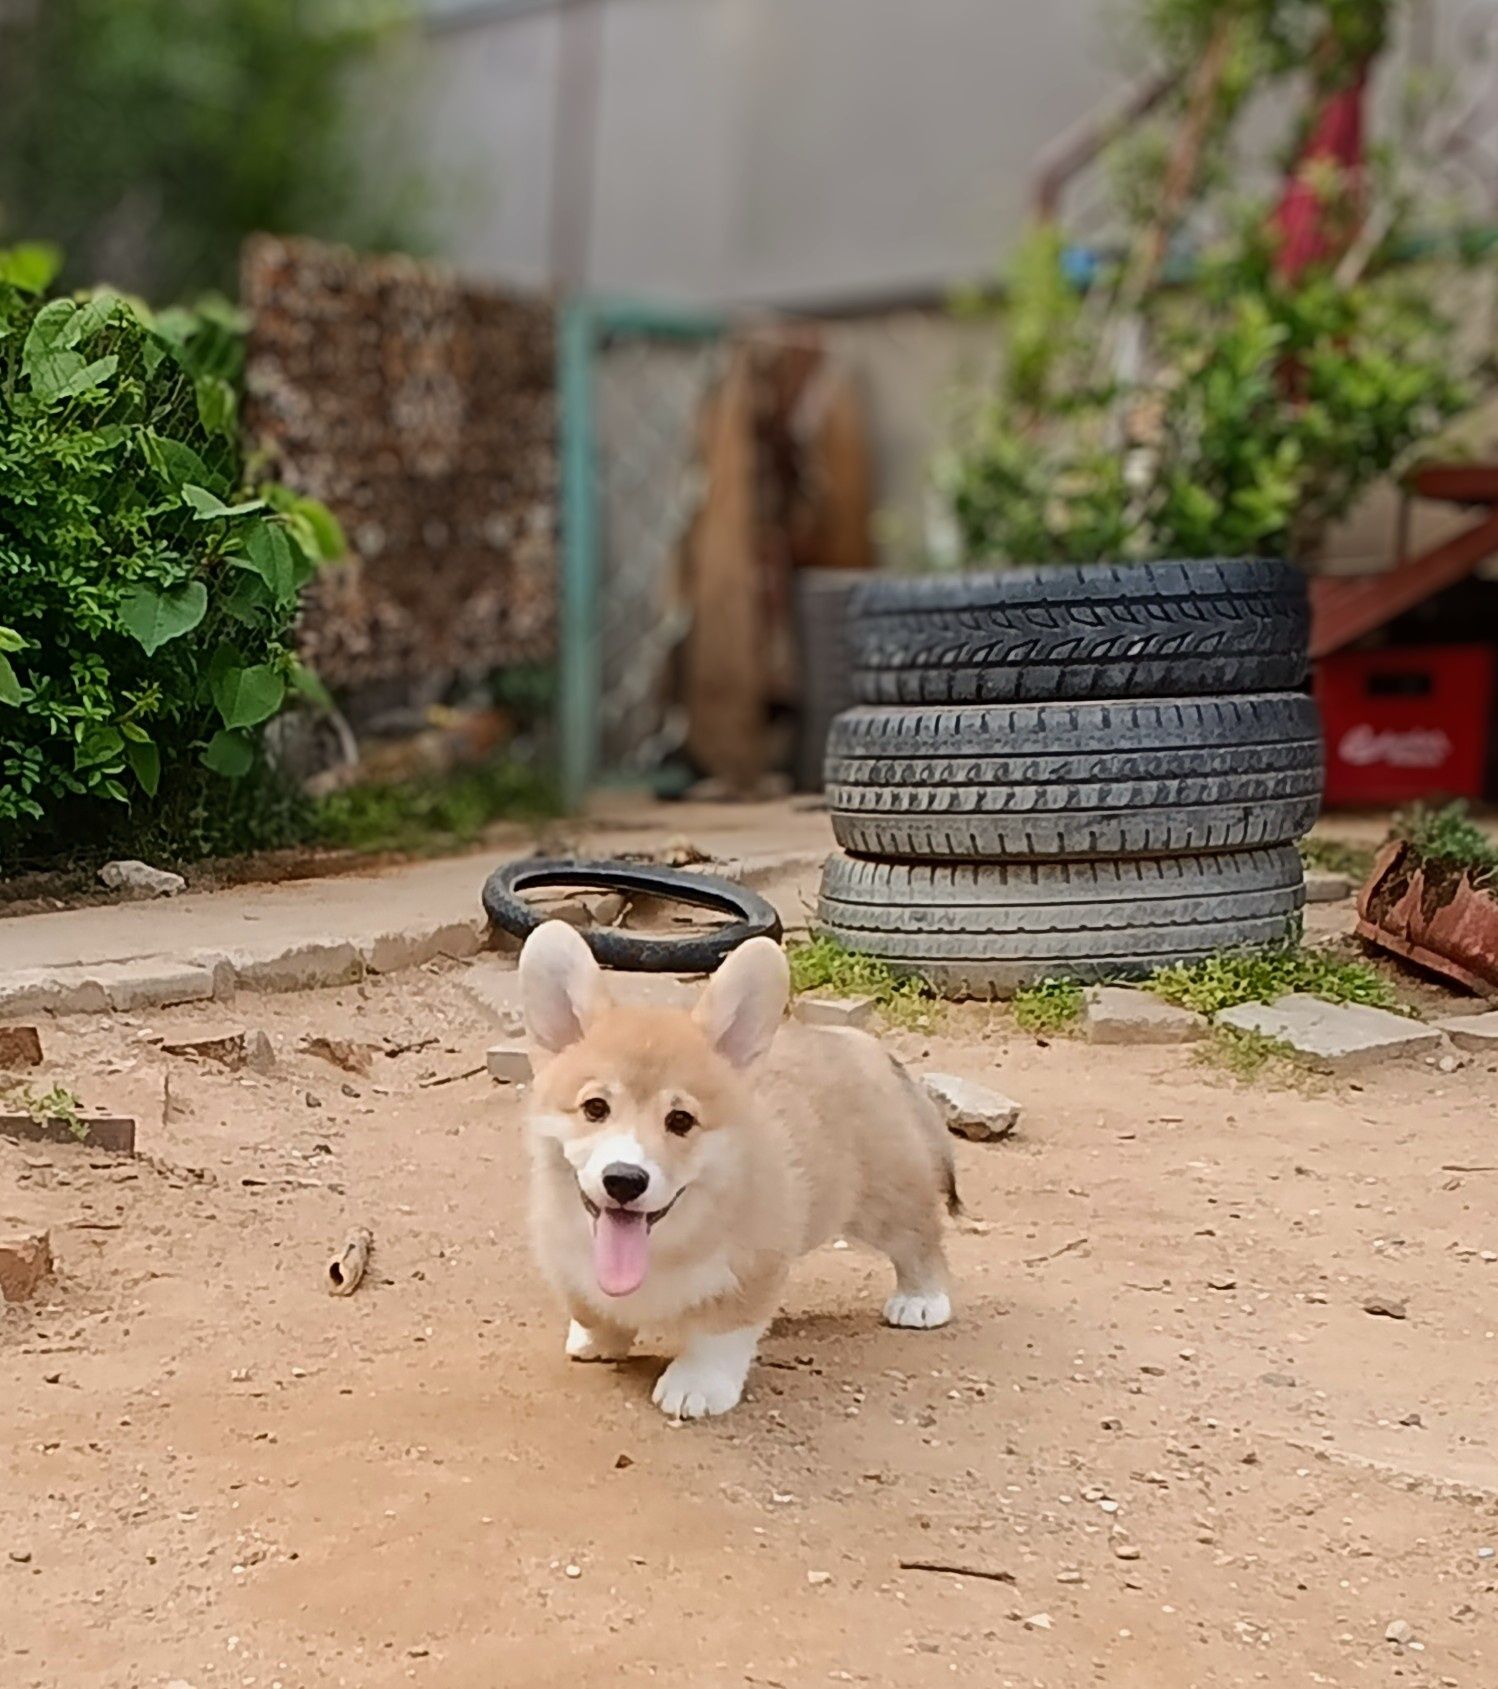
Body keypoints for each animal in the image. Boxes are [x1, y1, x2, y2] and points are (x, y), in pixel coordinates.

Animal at [520, 918, 952, 1418]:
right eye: (595, 1108)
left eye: (680, 1120)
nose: (624, 1180)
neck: (661, 1246)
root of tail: (859, 1043)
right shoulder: (565, 1256)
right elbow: (589, 1306)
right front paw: (598, 1339)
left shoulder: (753, 1267)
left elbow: (720, 1333)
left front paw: (697, 1385)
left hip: (886, 1198)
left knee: (919, 1238)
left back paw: (922, 1300)